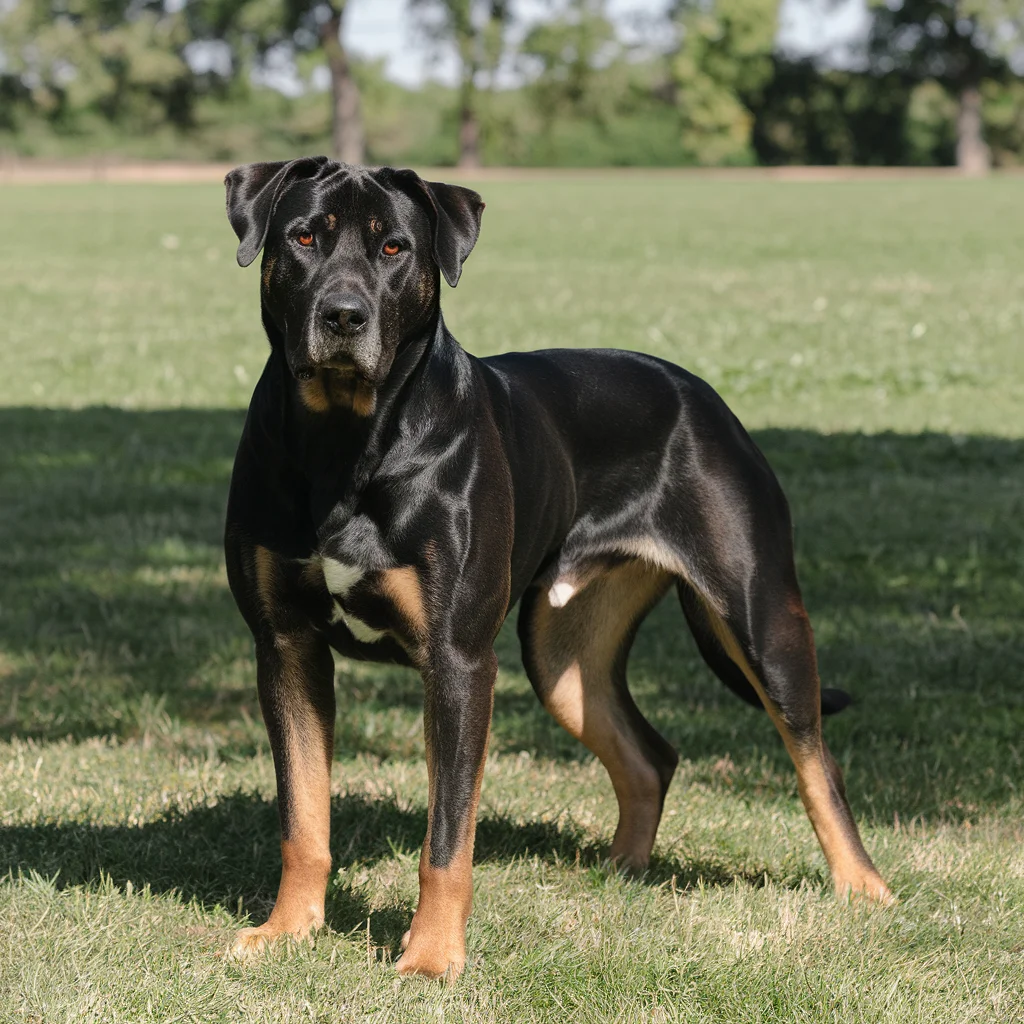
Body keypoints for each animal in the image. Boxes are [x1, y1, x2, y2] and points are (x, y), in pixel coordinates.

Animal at [220, 155, 892, 978]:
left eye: (394, 248)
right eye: (305, 237)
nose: (343, 316)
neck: (343, 440)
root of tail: (702, 394)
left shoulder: (458, 659)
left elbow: (447, 838)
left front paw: (432, 958)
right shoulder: (286, 647)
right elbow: (304, 815)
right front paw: (287, 931)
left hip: (762, 619)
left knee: (815, 760)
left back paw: (865, 889)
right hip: (561, 653)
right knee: (648, 756)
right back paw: (621, 875)